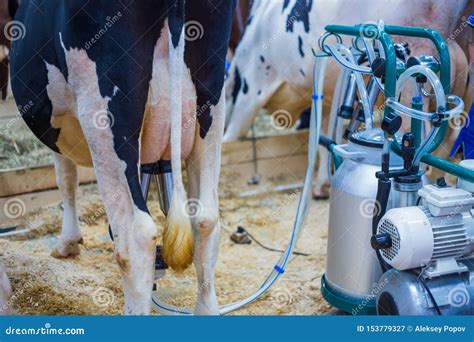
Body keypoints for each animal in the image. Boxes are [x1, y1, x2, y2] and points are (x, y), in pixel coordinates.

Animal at [6, 0, 235, 316]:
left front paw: (68, 242)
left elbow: (65, 179)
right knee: (205, 221)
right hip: (211, 102)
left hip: (105, 110)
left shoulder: (57, 125)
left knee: (135, 239)